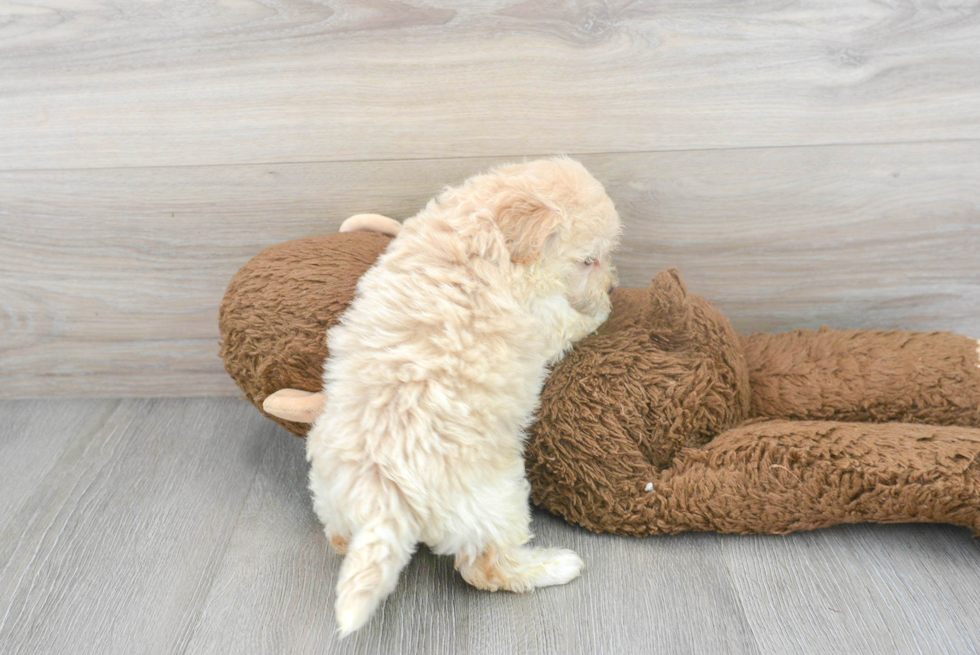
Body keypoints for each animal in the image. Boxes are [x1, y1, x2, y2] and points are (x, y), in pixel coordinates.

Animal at [306, 158, 620, 636]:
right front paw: (600, 309)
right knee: (486, 568)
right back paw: (554, 566)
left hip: (329, 491)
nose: (613, 288)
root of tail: (382, 492)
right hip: (494, 500)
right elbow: (570, 319)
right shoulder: (542, 320)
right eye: (589, 260)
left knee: (339, 536)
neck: (482, 233)